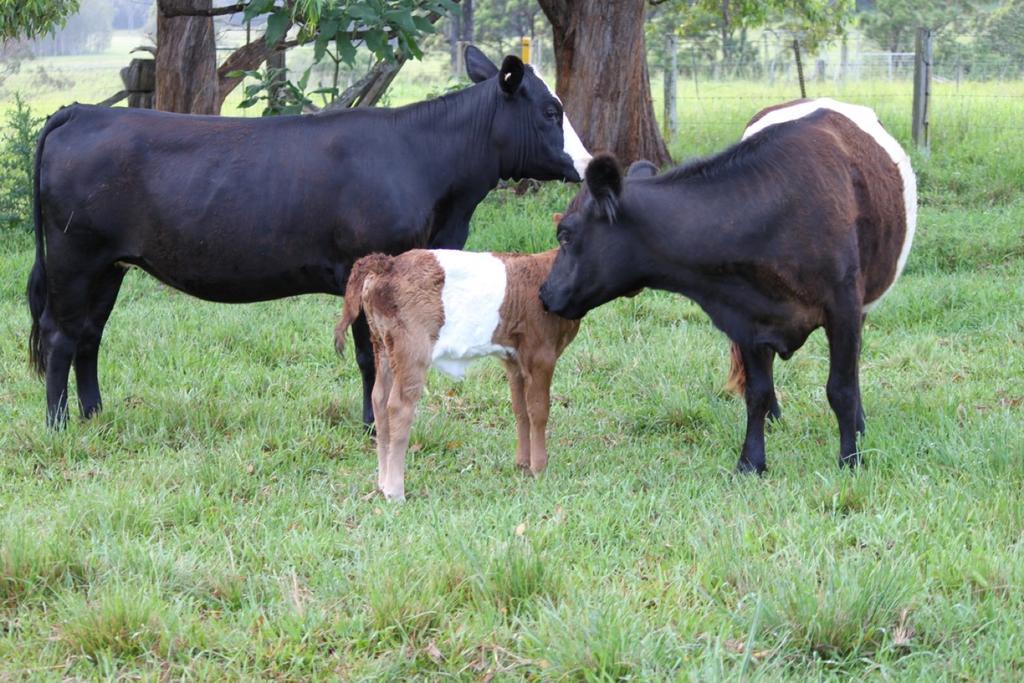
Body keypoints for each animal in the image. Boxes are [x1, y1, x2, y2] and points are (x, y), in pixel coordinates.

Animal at [28, 46, 593, 428]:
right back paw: (59, 424)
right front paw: (374, 426)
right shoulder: (367, 269)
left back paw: (94, 414)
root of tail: (83, 110)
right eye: (551, 111)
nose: (588, 164)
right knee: (59, 334)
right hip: (74, 257)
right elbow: (373, 357)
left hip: (108, 265)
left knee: (89, 334)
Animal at [333, 248, 577, 499]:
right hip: (411, 350)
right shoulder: (541, 355)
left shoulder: (514, 360)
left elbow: (521, 410)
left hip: (382, 346)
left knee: (379, 400)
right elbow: (539, 411)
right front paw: (539, 469)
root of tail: (387, 263)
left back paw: (382, 484)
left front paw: (523, 465)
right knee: (399, 406)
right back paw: (395, 491)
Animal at [540, 100, 917, 475]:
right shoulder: (747, 315)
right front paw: (751, 462)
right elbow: (757, 392)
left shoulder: (844, 306)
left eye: (565, 234)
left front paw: (850, 459)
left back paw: (859, 426)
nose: (544, 293)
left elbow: (841, 387)